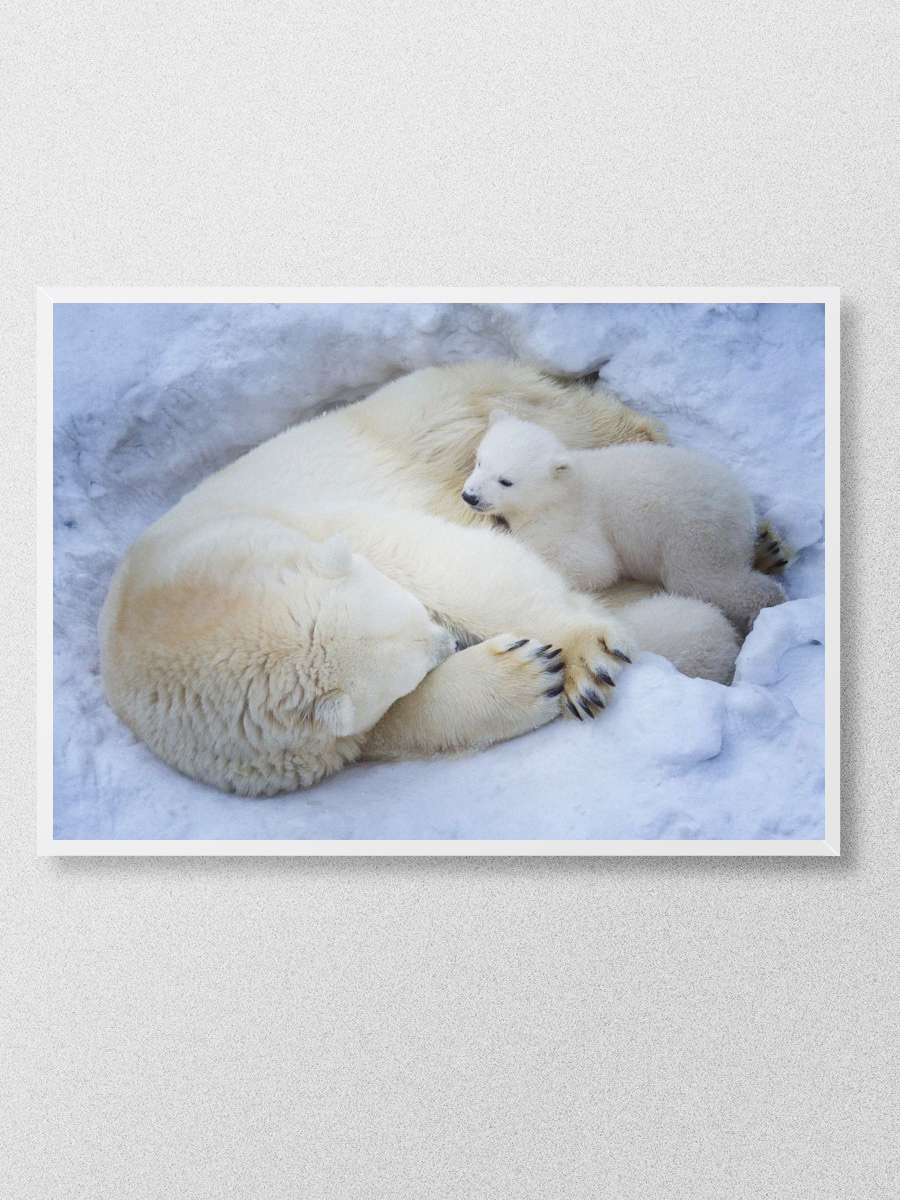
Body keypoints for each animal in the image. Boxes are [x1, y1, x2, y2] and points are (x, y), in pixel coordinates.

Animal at [99, 359, 737, 795]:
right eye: (411, 668)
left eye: (413, 608)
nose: (446, 641)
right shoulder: (272, 746)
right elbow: (383, 729)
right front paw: (529, 672)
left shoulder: (315, 521)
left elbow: (442, 558)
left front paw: (584, 658)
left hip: (453, 413)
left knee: (570, 422)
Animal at [462, 412, 786, 633]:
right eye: (480, 461)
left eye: (506, 480)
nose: (470, 496)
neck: (563, 489)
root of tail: (744, 505)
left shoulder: (575, 521)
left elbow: (595, 566)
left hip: (696, 533)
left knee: (706, 580)